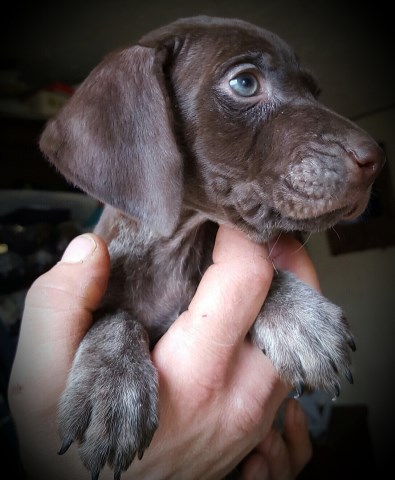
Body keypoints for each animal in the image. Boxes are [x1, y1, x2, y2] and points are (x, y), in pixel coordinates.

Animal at [38, 15, 386, 480]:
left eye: (315, 93)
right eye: (244, 83)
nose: (377, 161)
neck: (172, 247)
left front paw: (298, 314)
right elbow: (114, 316)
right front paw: (111, 383)